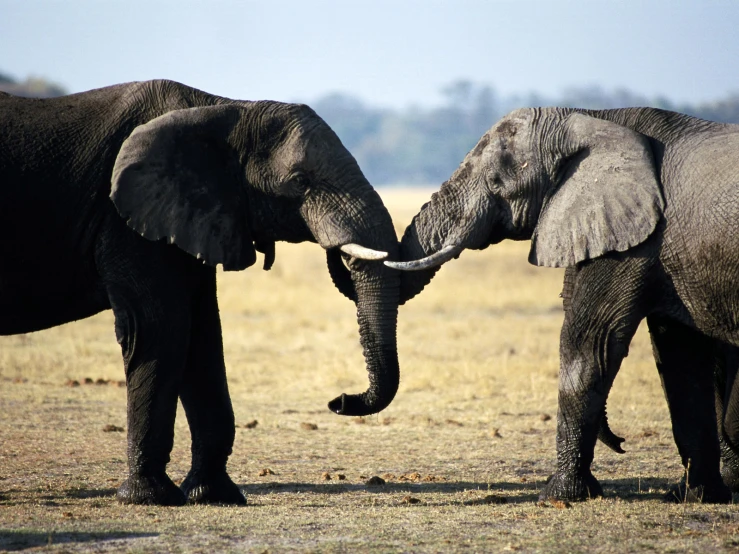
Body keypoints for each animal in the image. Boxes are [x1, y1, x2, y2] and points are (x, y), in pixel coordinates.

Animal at [0, 78, 402, 504]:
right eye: (299, 182)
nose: (339, 401)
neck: (226, 109)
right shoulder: (127, 220)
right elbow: (159, 328)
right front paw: (148, 497)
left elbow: (203, 333)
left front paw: (213, 495)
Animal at [388, 105, 739, 502]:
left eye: (496, 182)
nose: (622, 442)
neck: (591, 118)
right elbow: (681, 360)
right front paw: (695, 496)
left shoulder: (635, 241)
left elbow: (589, 344)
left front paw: (560, 495)